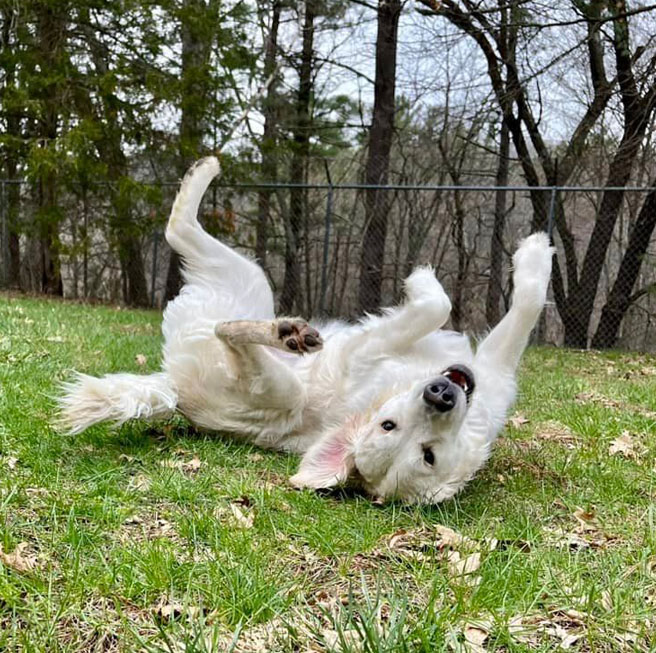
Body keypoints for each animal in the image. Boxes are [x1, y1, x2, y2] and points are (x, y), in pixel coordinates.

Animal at [60, 158, 552, 504]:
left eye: (427, 454)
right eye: (388, 425)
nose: (441, 394)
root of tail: (173, 389)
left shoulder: (490, 374)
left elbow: (508, 304)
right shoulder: (381, 352)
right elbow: (458, 303)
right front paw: (526, 254)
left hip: (248, 301)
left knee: (191, 256)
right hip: (263, 324)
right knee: (208, 291)